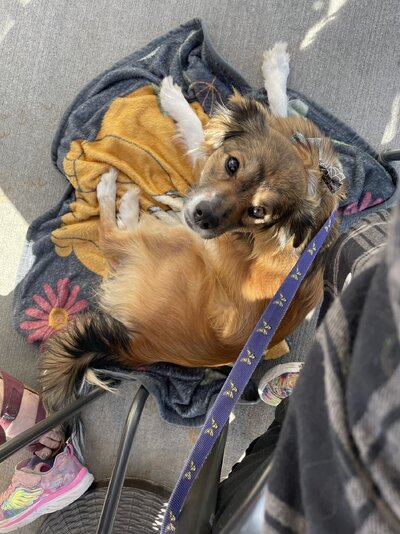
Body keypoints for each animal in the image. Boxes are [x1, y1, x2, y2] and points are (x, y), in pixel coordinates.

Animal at [40, 43, 345, 442]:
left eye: (258, 211)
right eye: (232, 165)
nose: (203, 219)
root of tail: (142, 347)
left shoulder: (202, 163)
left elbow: (196, 129)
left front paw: (173, 99)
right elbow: (277, 109)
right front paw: (277, 71)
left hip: (179, 253)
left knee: (111, 238)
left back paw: (119, 197)